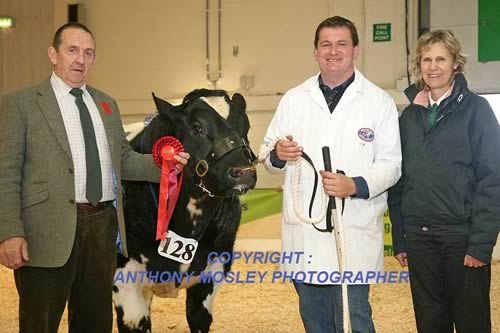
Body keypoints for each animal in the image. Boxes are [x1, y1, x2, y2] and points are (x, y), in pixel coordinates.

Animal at [114, 89, 258, 330]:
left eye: (245, 126)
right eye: (197, 128)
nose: (243, 172)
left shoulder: (212, 273)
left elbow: (197, 317)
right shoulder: (126, 283)